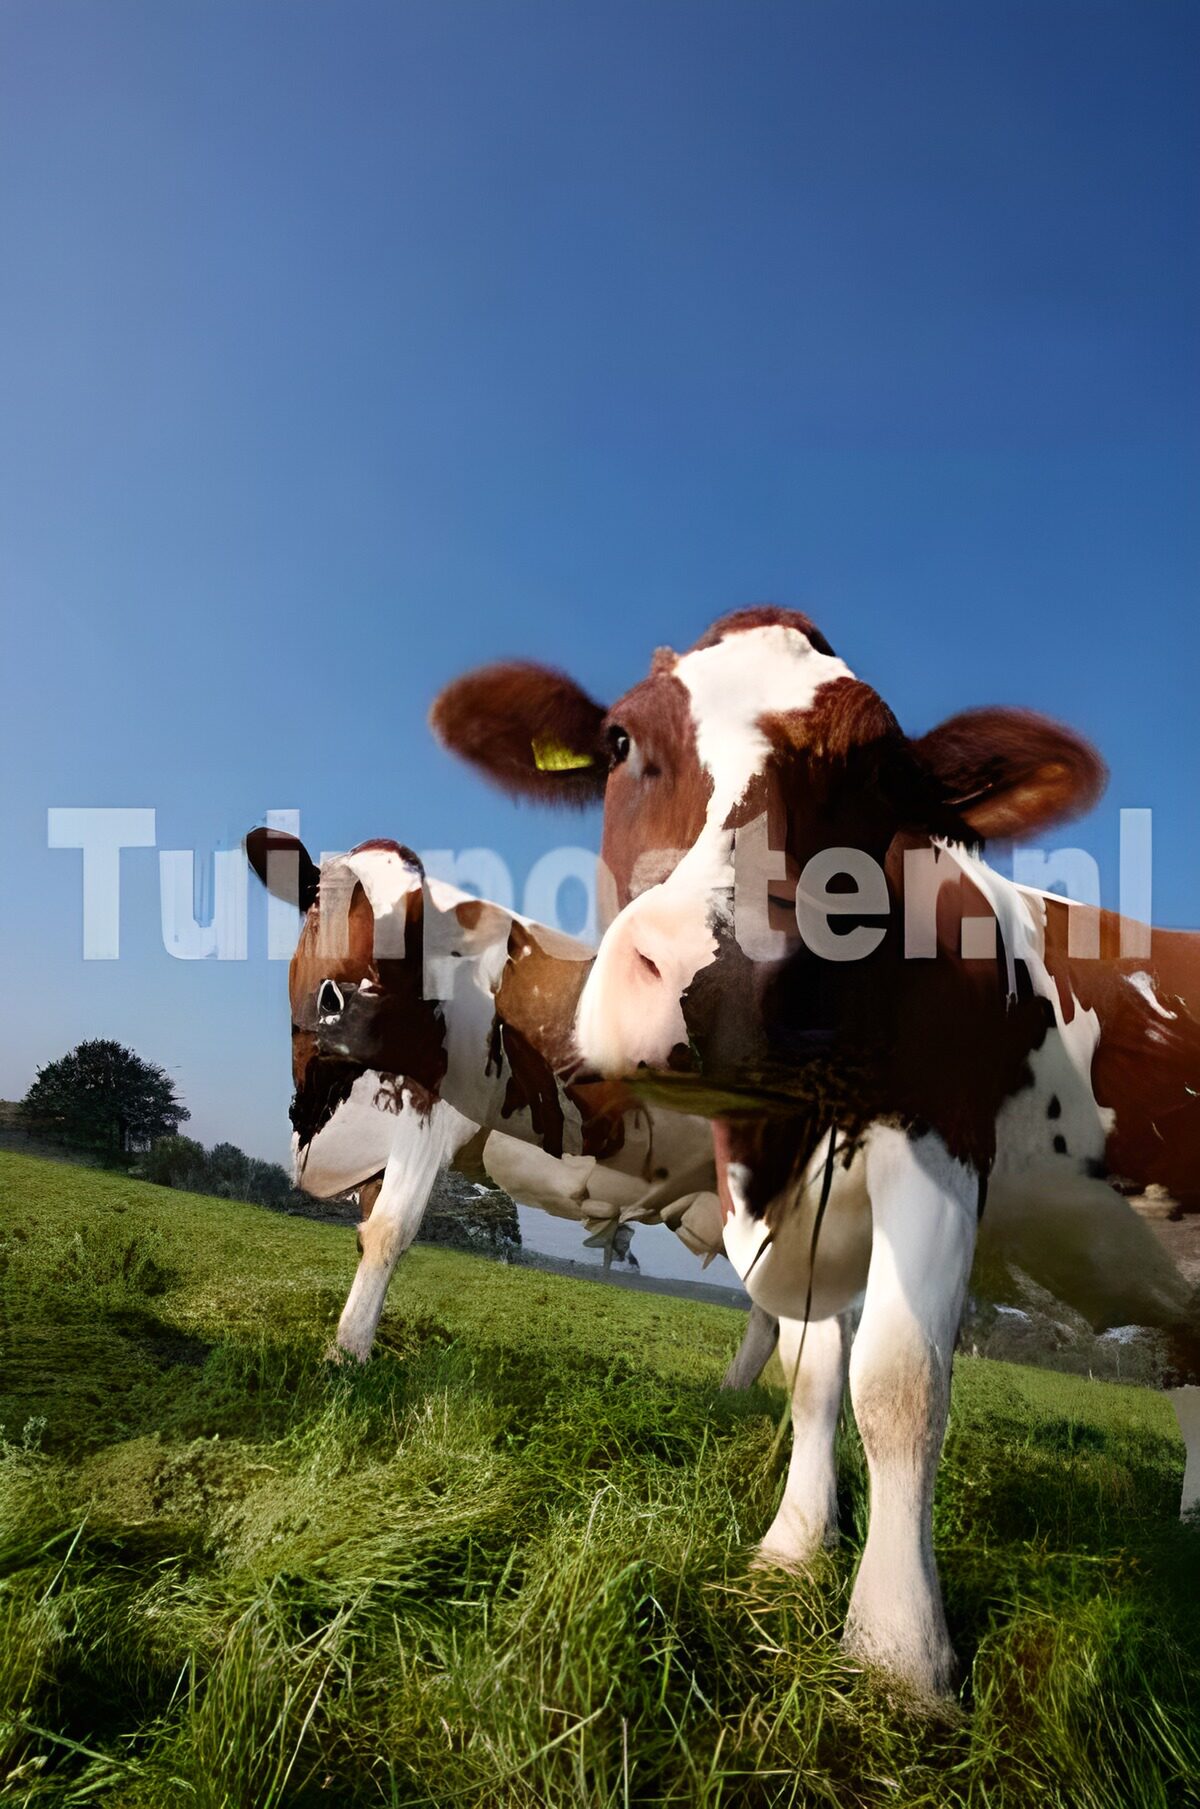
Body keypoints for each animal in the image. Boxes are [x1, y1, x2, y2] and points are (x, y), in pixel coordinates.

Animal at [431, 605, 1200, 1697]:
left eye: (882, 773)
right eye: (619, 741)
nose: (730, 977)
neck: (784, 1147)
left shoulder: (938, 1147)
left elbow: (898, 1385)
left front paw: (900, 1646)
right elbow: (810, 1372)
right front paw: (794, 1546)